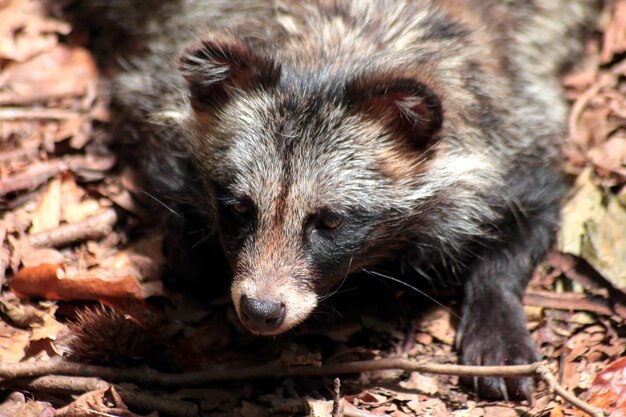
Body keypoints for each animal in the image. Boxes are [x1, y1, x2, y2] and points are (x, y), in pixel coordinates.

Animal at [67, 0, 596, 400]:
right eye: (239, 209)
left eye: (329, 222)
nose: (261, 311)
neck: (333, 55)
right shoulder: (153, 79)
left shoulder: (515, 119)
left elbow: (534, 211)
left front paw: (496, 305)